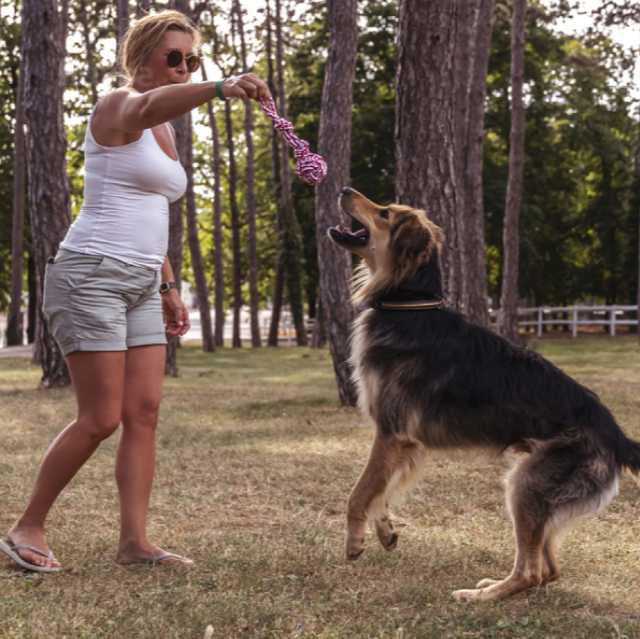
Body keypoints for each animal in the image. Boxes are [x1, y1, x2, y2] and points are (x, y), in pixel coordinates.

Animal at [330, 186, 640, 604]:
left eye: (384, 213)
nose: (345, 189)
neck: (407, 304)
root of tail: (616, 434)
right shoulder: (402, 443)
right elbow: (381, 490)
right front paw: (385, 531)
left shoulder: (392, 433)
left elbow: (359, 491)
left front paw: (354, 542)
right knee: (549, 570)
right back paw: (494, 586)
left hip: (525, 486)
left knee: (532, 572)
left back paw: (481, 597)